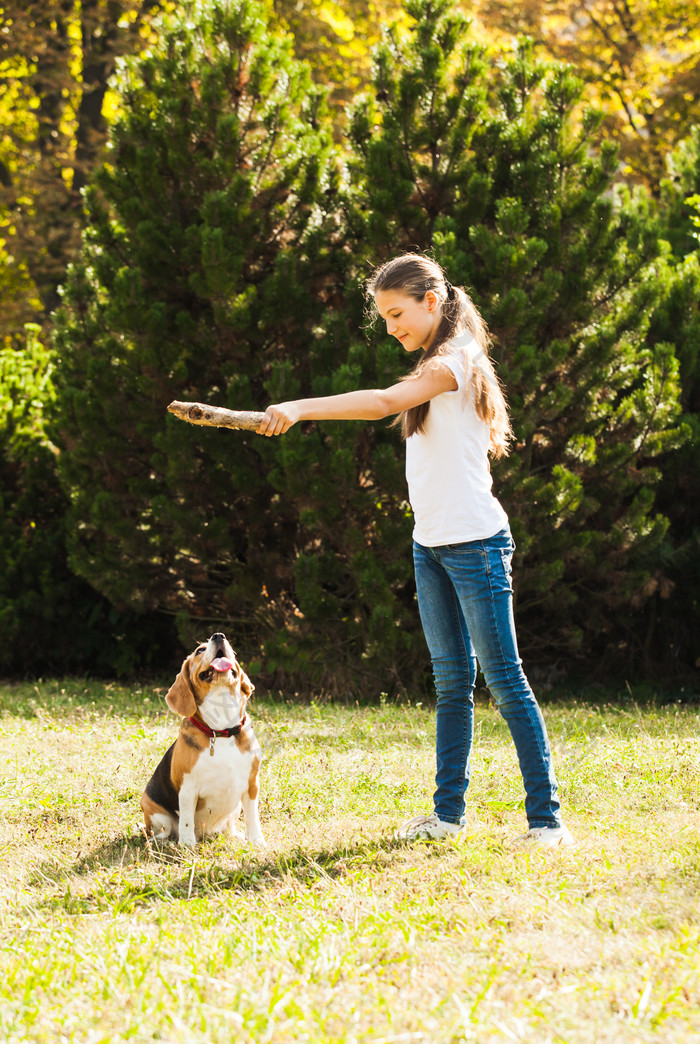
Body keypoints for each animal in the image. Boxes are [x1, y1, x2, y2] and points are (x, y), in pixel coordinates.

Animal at [141, 626, 264, 847]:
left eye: (233, 651)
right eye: (200, 650)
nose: (219, 636)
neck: (221, 730)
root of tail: (204, 834)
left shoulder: (252, 785)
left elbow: (253, 817)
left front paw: (257, 841)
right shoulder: (188, 788)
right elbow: (186, 820)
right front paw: (187, 845)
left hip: (234, 809)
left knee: (228, 827)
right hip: (152, 809)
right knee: (164, 831)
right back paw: (168, 842)